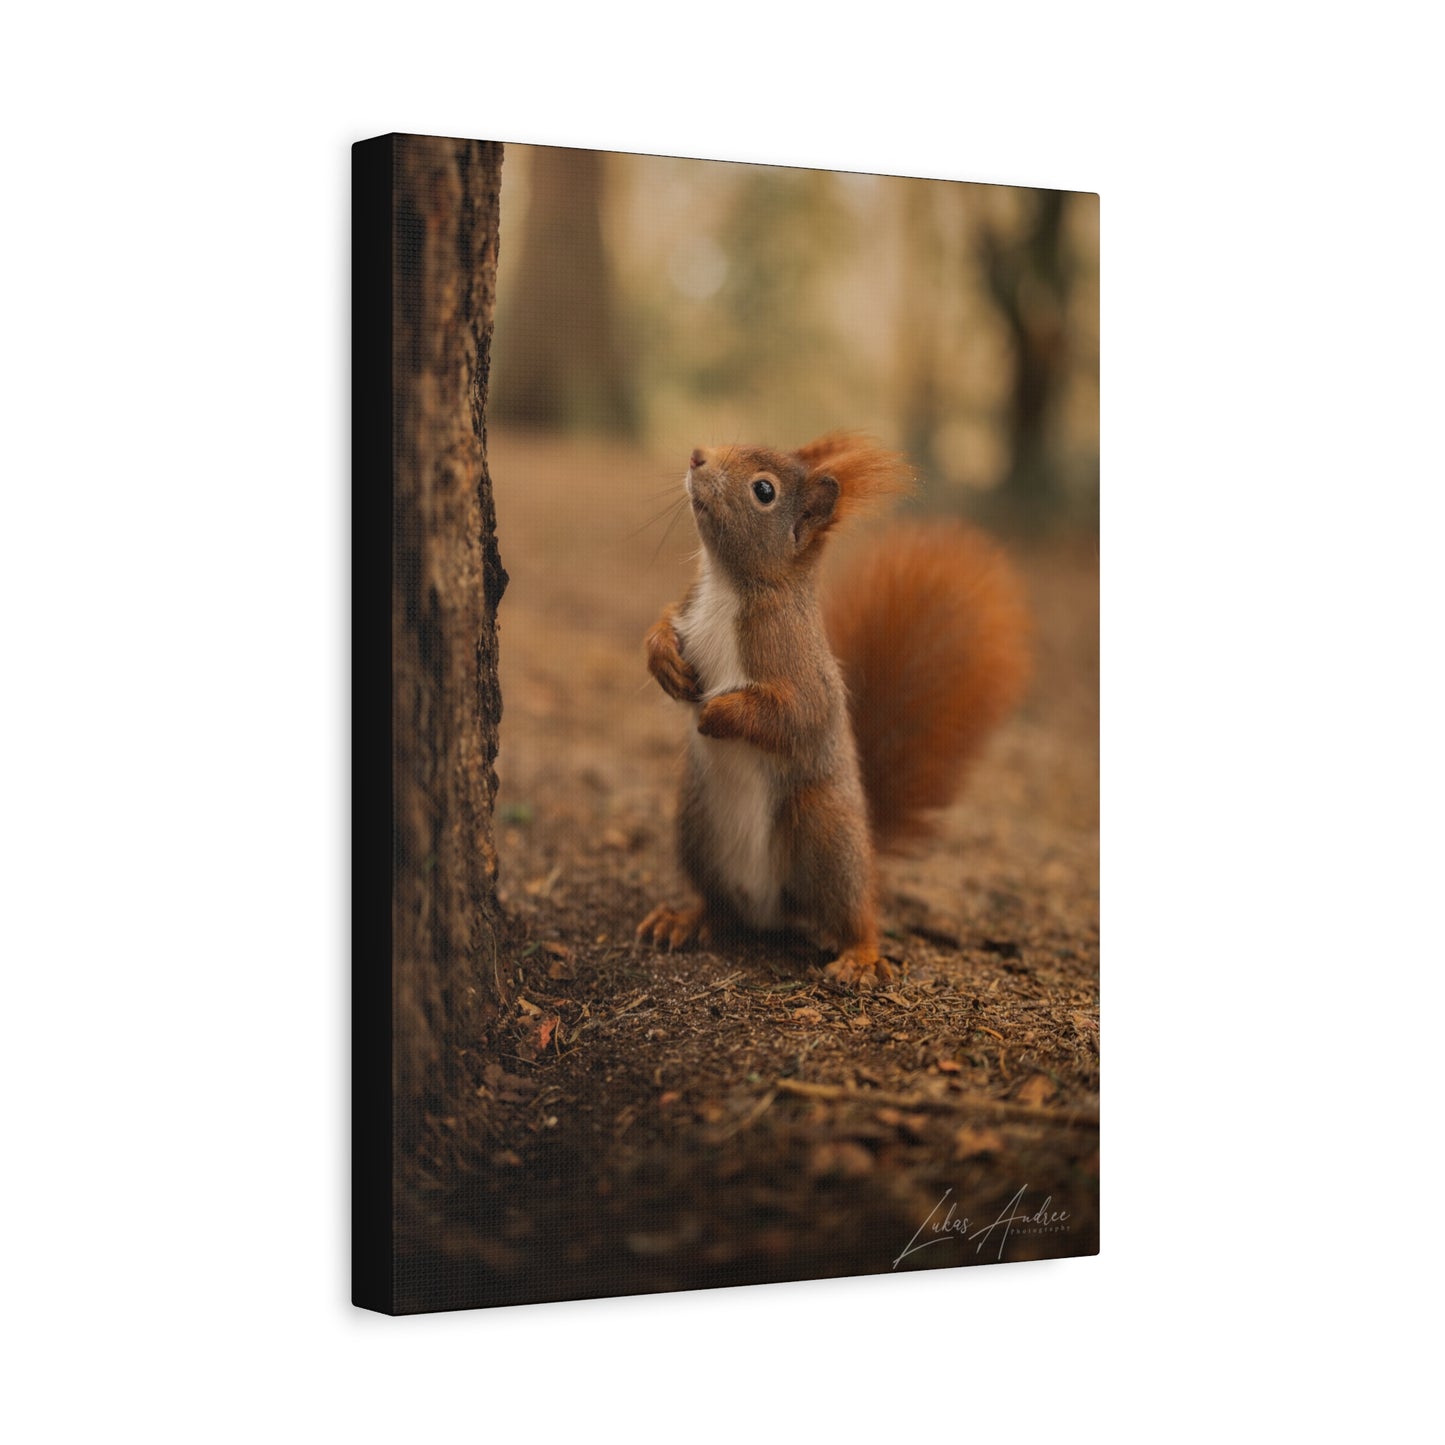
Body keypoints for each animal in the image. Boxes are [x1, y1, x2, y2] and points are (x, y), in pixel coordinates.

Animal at [635, 433, 1031, 987]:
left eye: (764, 490)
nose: (697, 457)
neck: (727, 587)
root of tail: (768, 911)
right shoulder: (688, 607)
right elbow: (663, 624)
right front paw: (664, 662)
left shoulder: (802, 673)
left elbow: (793, 716)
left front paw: (715, 714)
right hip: (696, 826)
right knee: (720, 908)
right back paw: (685, 918)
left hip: (823, 831)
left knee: (853, 913)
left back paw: (860, 956)